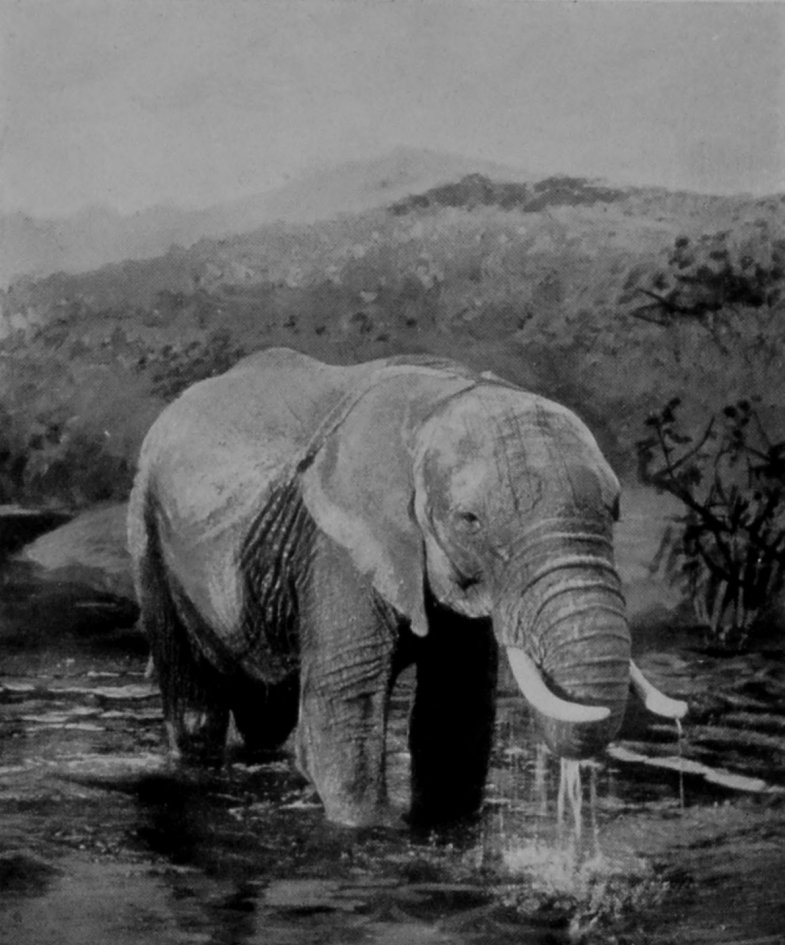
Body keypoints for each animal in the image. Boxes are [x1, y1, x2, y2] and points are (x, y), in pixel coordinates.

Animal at [127, 347, 686, 827]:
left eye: (615, 510)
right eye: (469, 521)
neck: (443, 398)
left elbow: (454, 715)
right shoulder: (336, 546)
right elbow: (344, 722)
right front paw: (365, 830)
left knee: (267, 716)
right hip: (149, 535)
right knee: (196, 710)